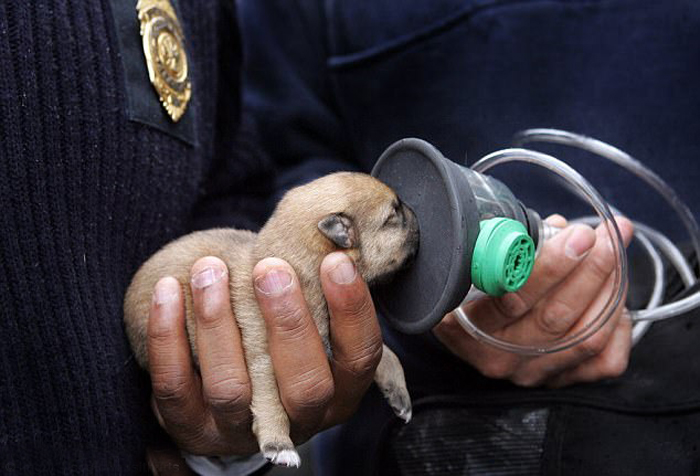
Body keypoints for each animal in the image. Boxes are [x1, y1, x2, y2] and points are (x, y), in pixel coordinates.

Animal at [123, 171, 418, 464]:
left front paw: (398, 390)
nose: (416, 215)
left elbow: (387, 354)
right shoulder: (263, 361)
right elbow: (270, 401)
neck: (298, 266)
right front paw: (279, 444)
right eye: (394, 215)